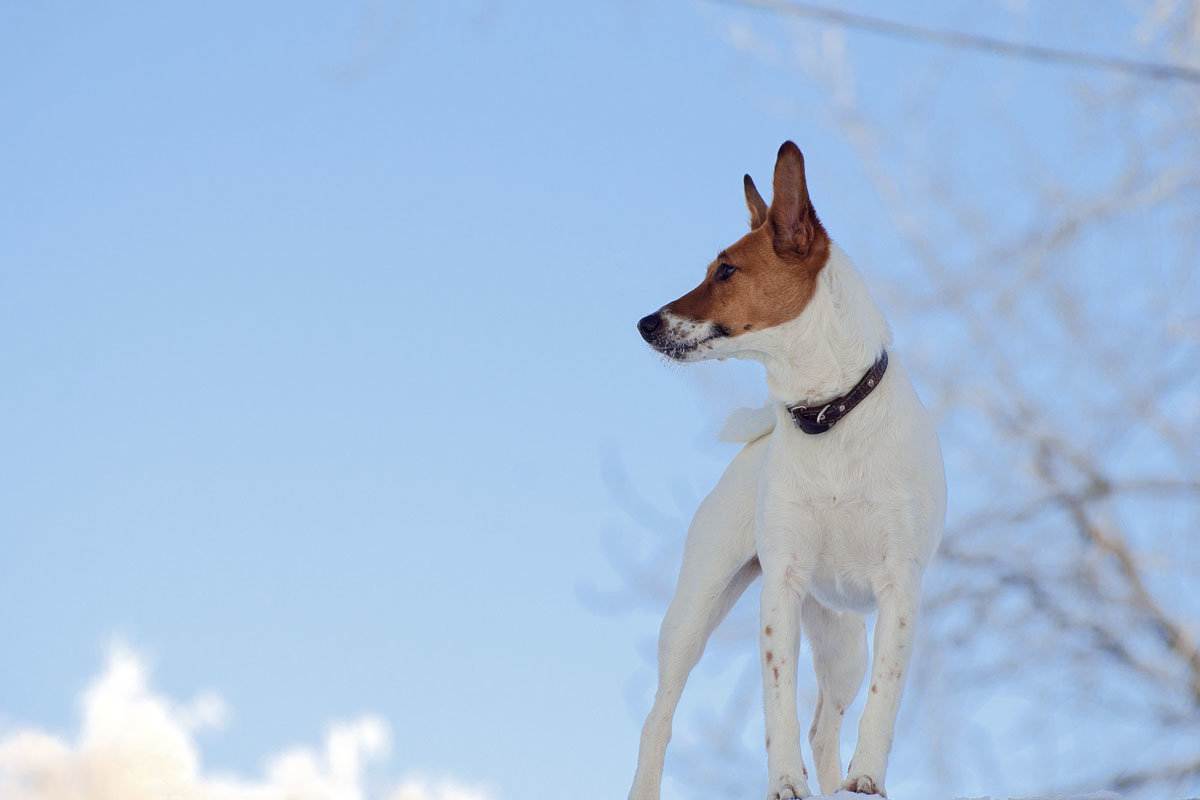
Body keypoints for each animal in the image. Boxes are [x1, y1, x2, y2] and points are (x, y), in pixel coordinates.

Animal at [628, 143, 945, 800]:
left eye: (726, 271)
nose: (644, 323)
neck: (826, 413)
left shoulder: (899, 589)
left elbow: (883, 701)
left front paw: (866, 778)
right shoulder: (782, 586)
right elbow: (778, 704)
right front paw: (784, 784)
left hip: (845, 643)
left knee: (828, 726)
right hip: (696, 609)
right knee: (658, 718)